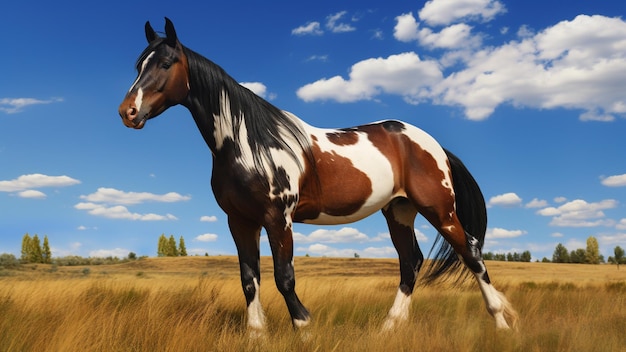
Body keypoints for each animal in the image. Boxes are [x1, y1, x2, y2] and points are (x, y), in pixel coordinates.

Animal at [118, 18, 516, 332]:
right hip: (399, 211)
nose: (128, 112)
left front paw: (304, 327)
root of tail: (431, 144)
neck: (245, 143)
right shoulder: (240, 221)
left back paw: (501, 323)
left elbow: (284, 277)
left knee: (472, 253)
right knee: (411, 262)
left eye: (166, 63)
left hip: (439, 210)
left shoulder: (278, 219)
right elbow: (249, 280)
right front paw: (257, 335)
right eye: (138, 66)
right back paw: (389, 328)